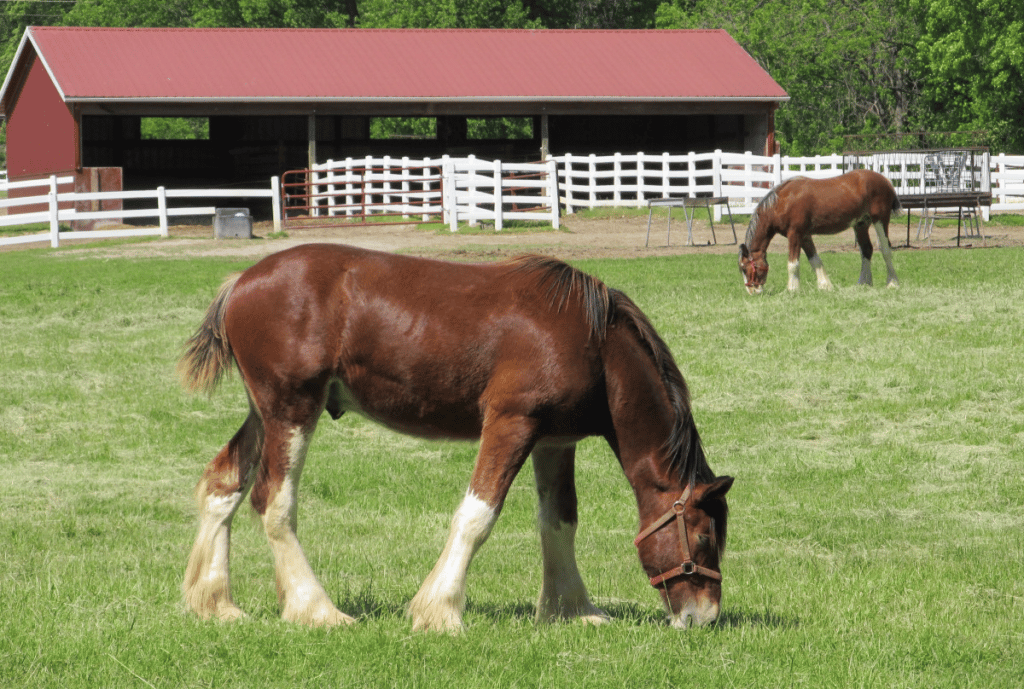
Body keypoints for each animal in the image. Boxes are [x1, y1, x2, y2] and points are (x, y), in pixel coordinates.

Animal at [179, 243, 733, 632]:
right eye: (705, 536)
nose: (703, 617)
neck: (594, 343)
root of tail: (241, 281)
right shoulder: (511, 423)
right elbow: (477, 515)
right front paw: (439, 610)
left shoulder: (554, 442)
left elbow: (559, 522)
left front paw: (571, 609)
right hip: (292, 410)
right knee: (273, 502)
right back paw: (316, 609)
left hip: (264, 414)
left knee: (223, 486)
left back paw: (215, 603)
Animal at [738, 169, 901, 294]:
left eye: (745, 268)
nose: (752, 291)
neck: (781, 202)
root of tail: (886, 181)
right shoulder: (804, 236)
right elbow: (814, 259)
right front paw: (825, 286)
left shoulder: (795, 234)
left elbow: (793, 264)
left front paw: (792, 289)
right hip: (860, 224)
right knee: (866, 250)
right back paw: (863, 283)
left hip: (880, 220)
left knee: (886, 249)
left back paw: (893, 283)